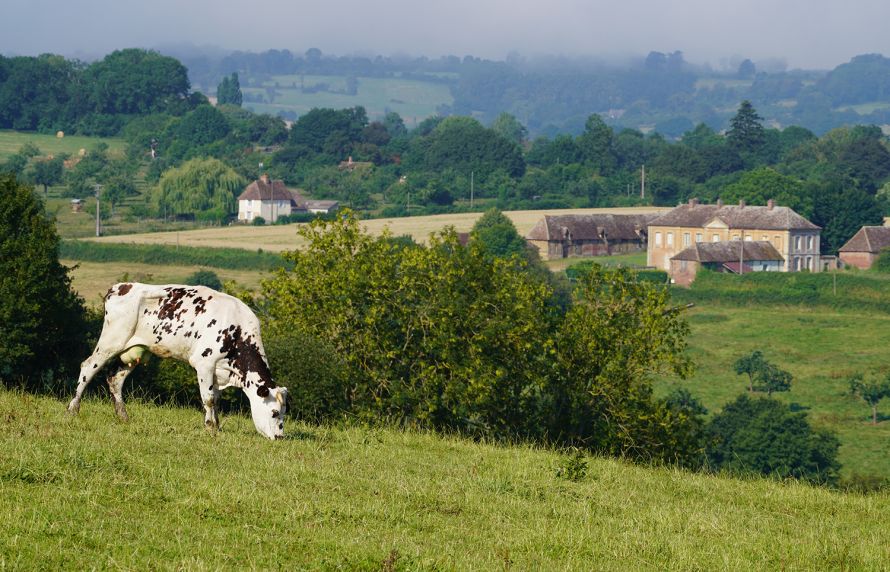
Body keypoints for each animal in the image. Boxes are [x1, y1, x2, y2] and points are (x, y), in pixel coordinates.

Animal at [67, 284, 288, 440]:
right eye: (275, 412)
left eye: (284, 413)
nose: (279, 437)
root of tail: (119, 287)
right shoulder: (204, 363)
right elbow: (208, 398)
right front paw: (210, 428)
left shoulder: (217, 371)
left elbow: (216, 399)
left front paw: (217, 425)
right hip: (111, 341)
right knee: (88, 367)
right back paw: (73, 409)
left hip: (132, 351)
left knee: (115, 378)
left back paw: (123, 416)